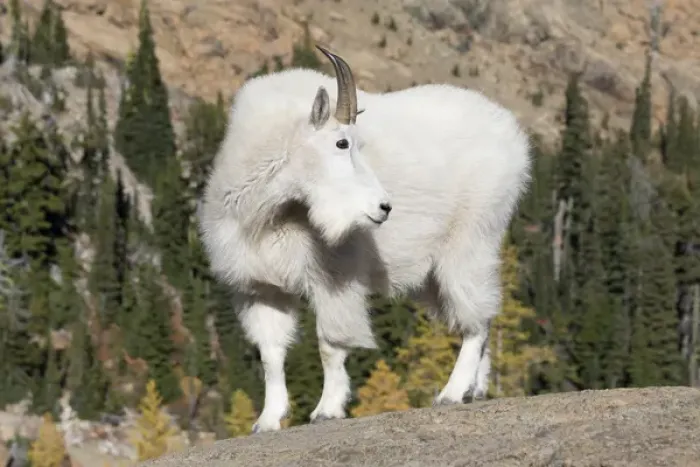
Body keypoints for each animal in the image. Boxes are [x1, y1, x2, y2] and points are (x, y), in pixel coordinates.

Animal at [198, 45, 531, 432]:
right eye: (342, 142)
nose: (384, 207)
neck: (268, 212)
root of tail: (513, 136)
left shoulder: (334, 280)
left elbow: (330, 344)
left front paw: (327, 409)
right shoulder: (261, 289)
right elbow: (271, 356)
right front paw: (267, 420)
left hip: (470, 242)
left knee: (476, 316)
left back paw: (452, 391)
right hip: (432, 274)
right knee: (480, 317)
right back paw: (474, 389)